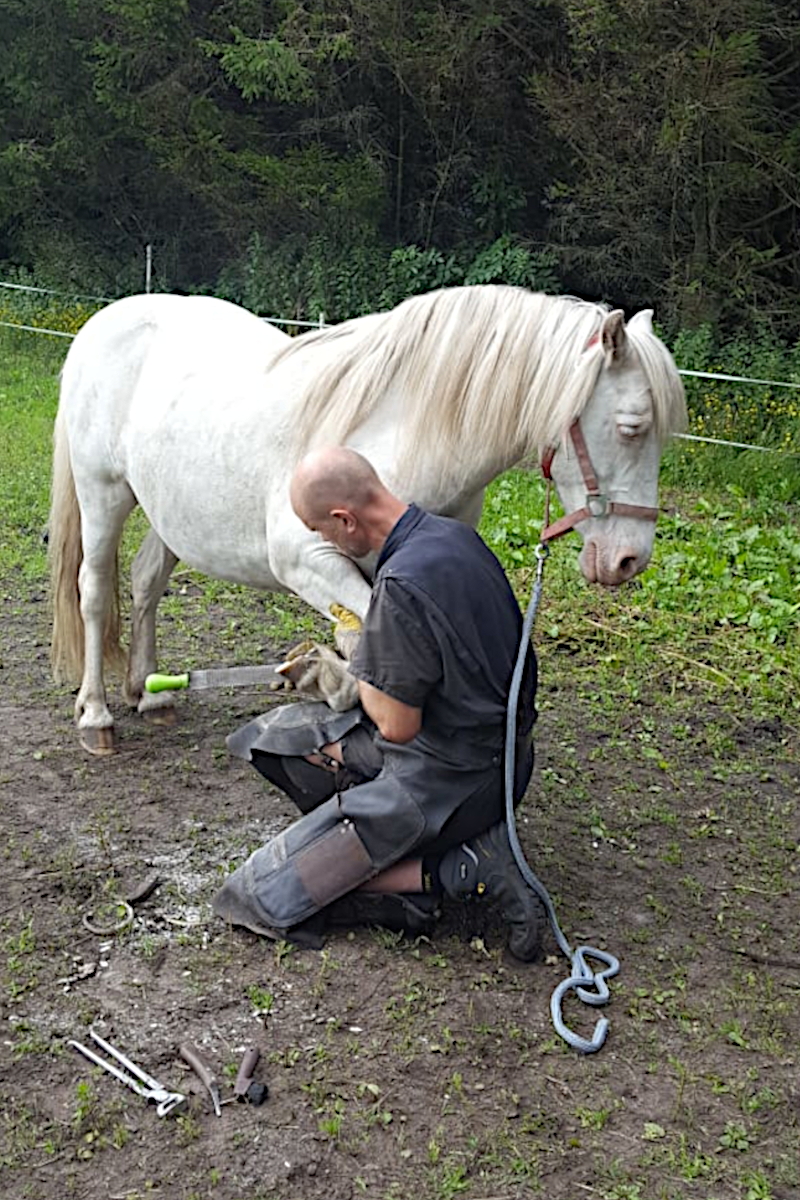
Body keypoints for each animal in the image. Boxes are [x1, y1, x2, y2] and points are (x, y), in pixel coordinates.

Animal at [48, 285, 686, 754]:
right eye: (631, 427)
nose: (630, 559)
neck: (401, 431)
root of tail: (104, 322)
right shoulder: (307, 560)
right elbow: (360, 638)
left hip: (170, 514)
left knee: (145, 584)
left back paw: (150, 693)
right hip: (104, 494)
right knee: (94, 590)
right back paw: (97, 715)